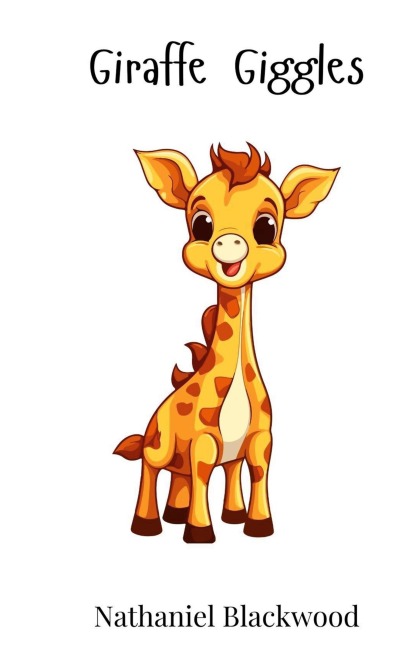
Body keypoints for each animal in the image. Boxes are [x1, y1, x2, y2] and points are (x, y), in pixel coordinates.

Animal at [114, 144, 339, 543]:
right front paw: (200, 533)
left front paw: (253, 524)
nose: (230, 244)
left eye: (267, 226)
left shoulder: (259, 440)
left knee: (184, 477)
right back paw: (147, 525)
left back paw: (177, 515)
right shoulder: (203, 441)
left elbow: (253, 473)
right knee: (151, 468)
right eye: (201, 222)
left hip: (184, 458)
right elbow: (204, 476)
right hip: (159, 445)